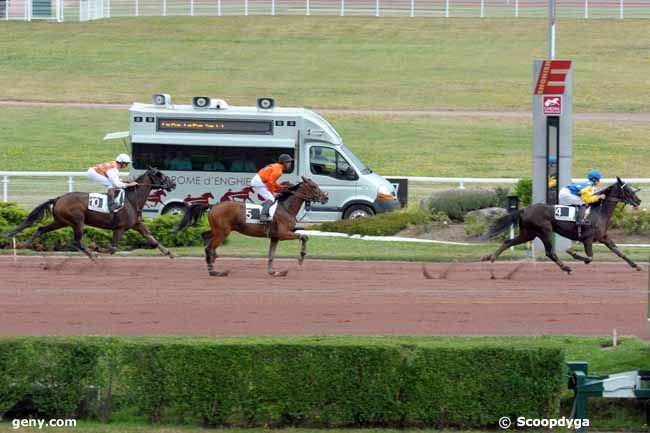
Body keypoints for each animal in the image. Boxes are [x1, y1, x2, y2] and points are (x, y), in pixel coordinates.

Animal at [3, 167, 176, 258]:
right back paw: (92, 254)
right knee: (77, 241)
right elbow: (113, 249)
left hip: (60, 221)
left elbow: (152, 239)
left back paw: (23, 244)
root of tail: (58, 198)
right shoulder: (119, 227)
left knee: (41, 229)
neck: (131, 199)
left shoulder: (137, 224)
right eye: (160, 174)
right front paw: (98, 248)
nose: (173, 183)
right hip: (77, 220)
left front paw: (169, 252)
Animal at [176, 176, 326, 276]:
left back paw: (213, 259)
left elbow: (271, 255)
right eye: (314, 186)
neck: (286, 207)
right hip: (223, 232)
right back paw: (214, 270)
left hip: (217, 230)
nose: (325, 197)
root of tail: (213, 205)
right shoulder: (283, 234)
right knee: (209, 247)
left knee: (205, 236)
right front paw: (301, 258)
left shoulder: (275, 237)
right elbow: (304, 237)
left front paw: (272, 272)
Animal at [478, 176, 640, 274]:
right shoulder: (587, 238)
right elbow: (589, 258)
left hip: (528, 233)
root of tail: (524, 209)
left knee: (508, 241)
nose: (638, 201)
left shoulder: (603, 238)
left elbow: (619, 252)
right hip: (545, 231)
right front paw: (572, 252)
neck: (598, 212)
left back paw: (491, 257)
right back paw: (565, 267)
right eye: (627, 190)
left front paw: (636, 265)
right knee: (550, 252)